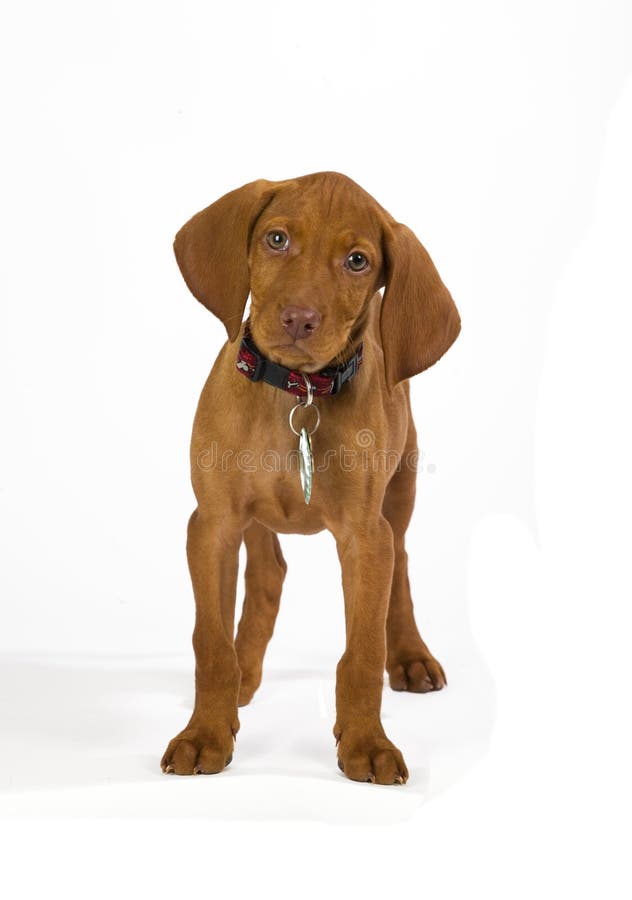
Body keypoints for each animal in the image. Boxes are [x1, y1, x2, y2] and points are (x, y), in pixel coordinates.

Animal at [162, 172, 460, 784]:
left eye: (357, 261)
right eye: (276, 239)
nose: (300, 318)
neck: (296, 393)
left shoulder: (365, 538)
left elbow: (363, 652)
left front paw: (367, 743)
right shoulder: (213, 524)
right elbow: (210, 644)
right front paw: (205, 733)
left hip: (401, 490)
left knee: (401, 565)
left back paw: (411, 655)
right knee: (268, 573)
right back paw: (245, 677)